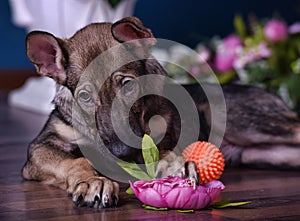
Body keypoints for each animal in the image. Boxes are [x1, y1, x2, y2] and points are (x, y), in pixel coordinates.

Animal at [22, 16, 300, 208]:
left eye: (128, 85)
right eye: (84, 97)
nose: (122, 154)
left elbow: (163, 148)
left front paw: (174, 165)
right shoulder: (40, 147)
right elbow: (74, 160)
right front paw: (93, 182)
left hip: (247, 123)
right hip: (269, 153)